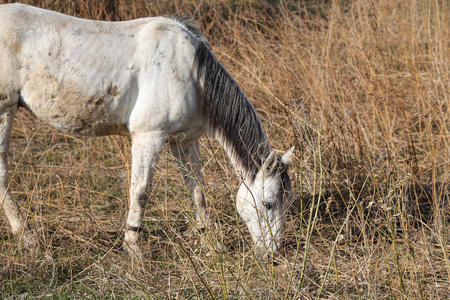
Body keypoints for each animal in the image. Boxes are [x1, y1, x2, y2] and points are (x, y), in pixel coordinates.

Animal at [0, 3, 294, 258]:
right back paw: (27, 237)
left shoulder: (184, 141)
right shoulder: (149, 136)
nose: (273, 254)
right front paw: (133, 248)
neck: (194, 75)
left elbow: (197, 190)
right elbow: (140, 192)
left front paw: (212, 244)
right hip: (4, 111)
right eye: (268, 203)